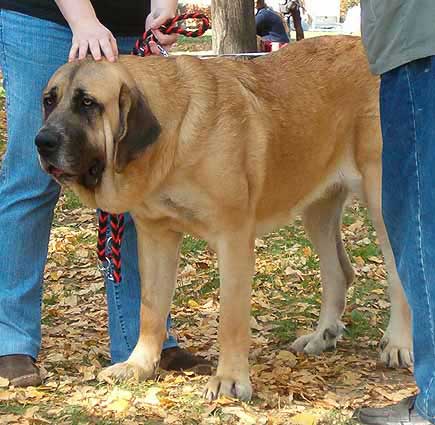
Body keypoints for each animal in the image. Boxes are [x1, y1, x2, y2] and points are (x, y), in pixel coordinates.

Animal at [36, 34, 412, 400]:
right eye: (49, 101)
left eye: (88, 104)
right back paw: (322, 336)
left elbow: (231, 318)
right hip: (317, 208)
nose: (42, 141)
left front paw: (230, 380)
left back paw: (398, 343)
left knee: (398, 274)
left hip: (381, 199)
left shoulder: (233, 238)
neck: (173, 136)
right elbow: (151, 308)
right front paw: (138, 365)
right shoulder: (156, 235)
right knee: (338, 272)